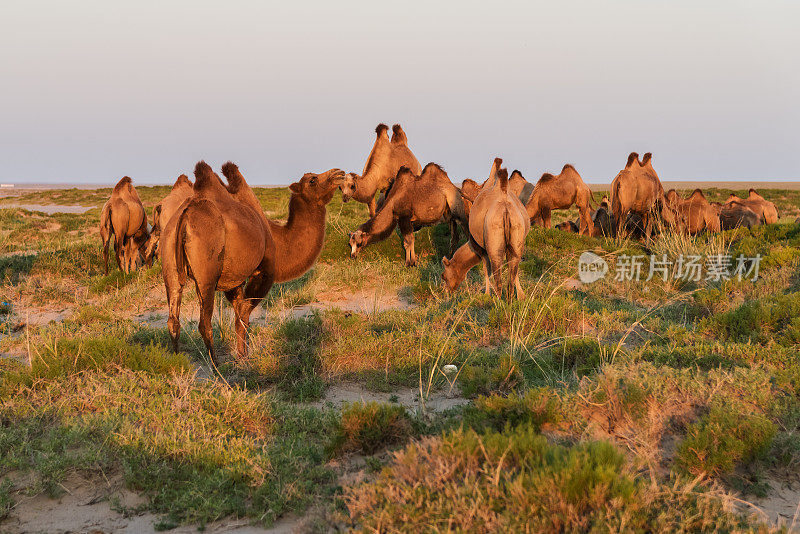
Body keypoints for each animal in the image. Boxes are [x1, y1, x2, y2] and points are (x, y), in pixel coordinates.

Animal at [162, 161, 344, 364]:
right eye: (312, 180)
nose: (339, 173)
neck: (276, 237)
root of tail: (185, 215)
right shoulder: (263, 272)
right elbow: (244, 315)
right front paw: (244, 357)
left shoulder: (235, 280)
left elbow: (239, 316)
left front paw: (242, 355)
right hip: (207, 271)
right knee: (204, 322)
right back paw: (216, 365)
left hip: (169, 256)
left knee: (173, 320)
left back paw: (177, 361)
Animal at [444, 159, 532, 302]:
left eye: (444, 276)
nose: (446, 292)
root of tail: (505, 206)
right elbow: (514, 272)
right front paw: (522, 296)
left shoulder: (481, 247)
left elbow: (486, 270)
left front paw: (486, 294)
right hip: (517, 235)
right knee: (511, 275)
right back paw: (509, 300)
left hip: (494, 242)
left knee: (498, 277)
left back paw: (498, 301)